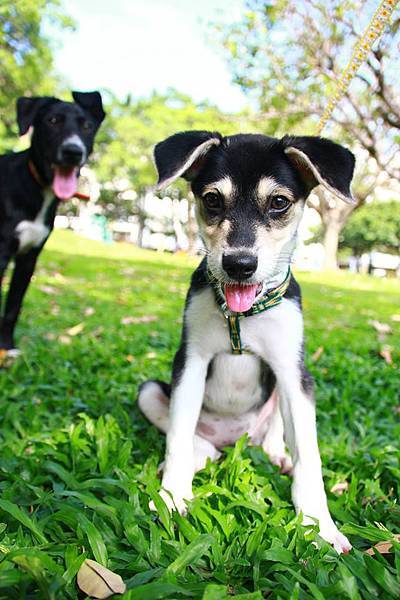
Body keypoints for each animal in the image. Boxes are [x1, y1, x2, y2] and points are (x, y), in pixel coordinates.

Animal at [0, 89, 104, 352]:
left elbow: (13, 306)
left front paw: (7, 346)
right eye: (52, 121)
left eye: (87, 126)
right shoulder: (2, 252)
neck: (41, 189)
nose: (73, 151)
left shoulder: (29, 258)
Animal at [138, 132, 356, 552]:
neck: (244, 312)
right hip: (151, 391)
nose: (239, 265)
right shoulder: (190, 362)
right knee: (190, 435)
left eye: (279, 202)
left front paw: (319, 525)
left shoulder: (294, 373)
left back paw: (275, 454)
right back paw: (200, 454)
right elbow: (177, 434)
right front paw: (172, 496)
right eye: (211, 199)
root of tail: (232, 440)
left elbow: (309, 456)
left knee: (274, 432)